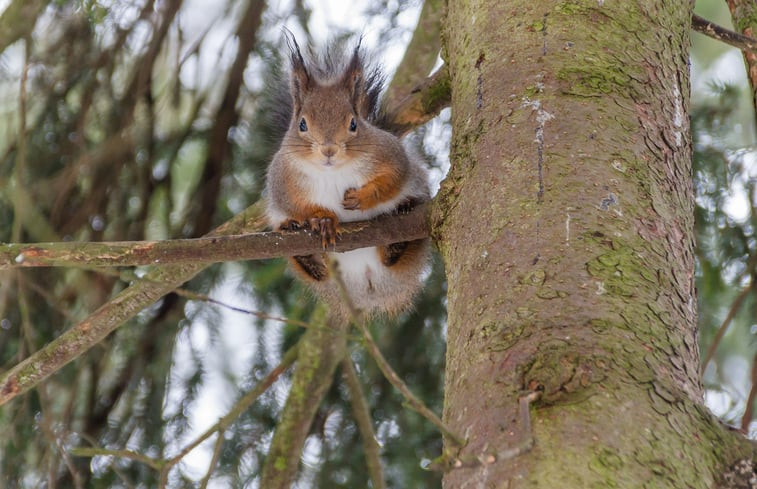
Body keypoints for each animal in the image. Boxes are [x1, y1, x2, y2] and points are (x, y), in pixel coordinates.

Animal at [264, 38, 432, 318]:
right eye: (302, 124)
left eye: (354, 124)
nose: (329, 150)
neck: (332, 172)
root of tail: (367, 284)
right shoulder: (281, 179)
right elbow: (294, 204)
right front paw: (322, 219)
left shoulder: (390, 154)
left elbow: (394, 179)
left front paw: (363, 197)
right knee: (315, 272)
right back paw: (301, 246)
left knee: (396, 256)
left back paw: (401, 225)